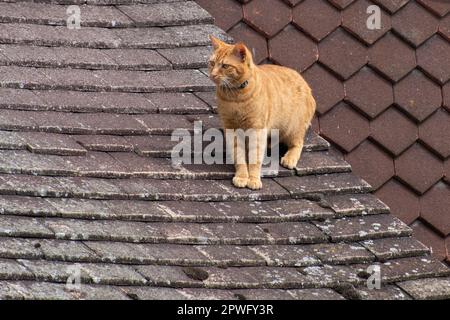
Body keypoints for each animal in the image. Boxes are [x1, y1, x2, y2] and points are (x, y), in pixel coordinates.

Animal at [209, 35, 314, 190]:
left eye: (225, 66)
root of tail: (305, 83)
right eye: (211, 63)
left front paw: (253, 179)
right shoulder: (231, 128)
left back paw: (290, 158)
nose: (213, 74)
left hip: (292, 128)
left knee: (298, 143)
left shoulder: (257, 130)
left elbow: (254, 157)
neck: (235, 98)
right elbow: (239, 156)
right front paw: (242, 176)